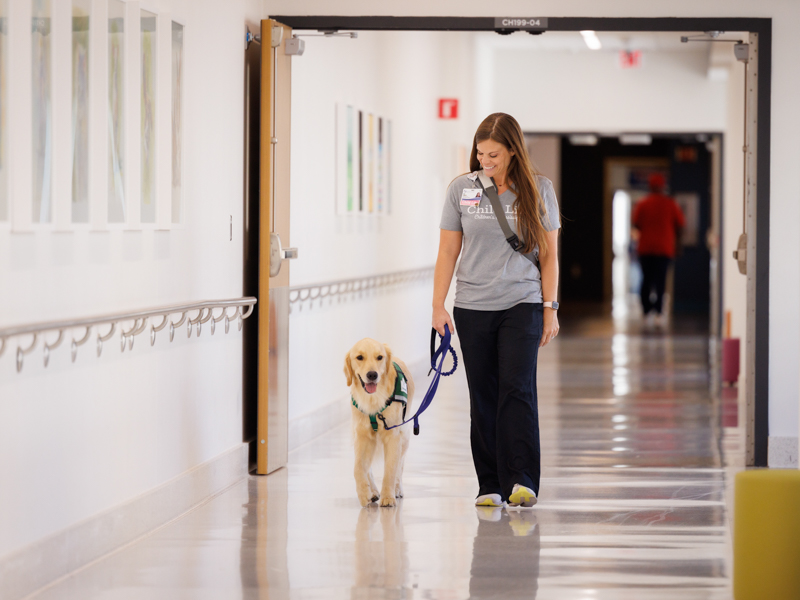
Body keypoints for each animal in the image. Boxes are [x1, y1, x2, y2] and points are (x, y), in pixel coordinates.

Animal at [346, 338, 418, 506]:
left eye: (379, 357)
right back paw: (373, 491)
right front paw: (364, 493)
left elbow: (391, 469)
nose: (372, 374)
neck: (373, 400)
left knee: (399, 467)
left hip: (404, 437)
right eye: (359, 357)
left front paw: (388, 497)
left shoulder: (393, 436)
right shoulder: (362, 435)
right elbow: (358, 468)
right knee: (368, 468)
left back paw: (397, 490)